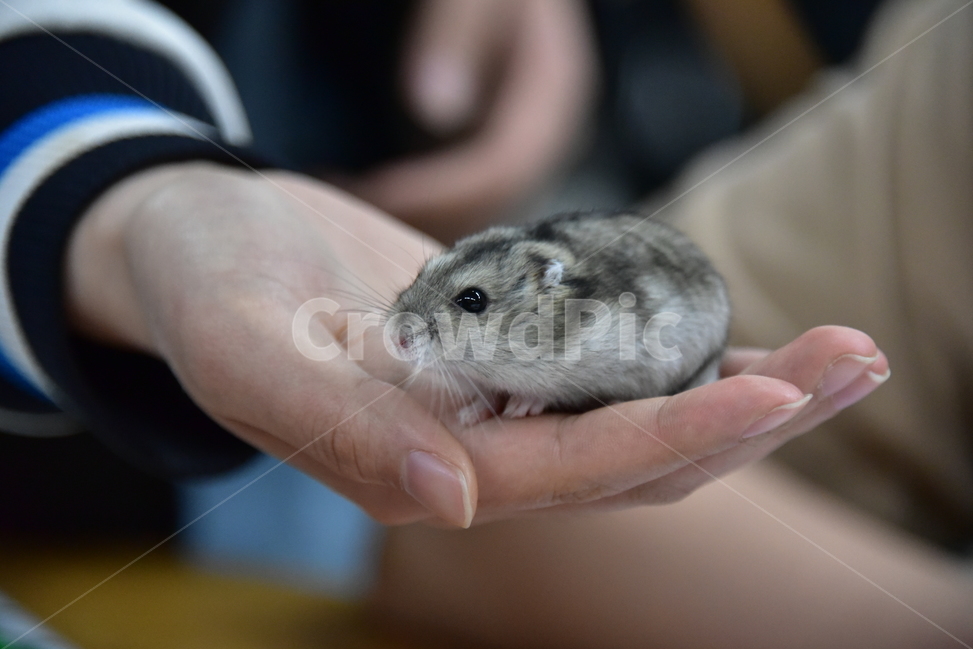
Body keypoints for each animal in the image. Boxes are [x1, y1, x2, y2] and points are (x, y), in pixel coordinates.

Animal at [386, 211, 730, 424]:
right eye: (421, 272)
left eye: (472, 300)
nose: (397, 339)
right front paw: (468, 416)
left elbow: (546, 393)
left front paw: (518, 408)